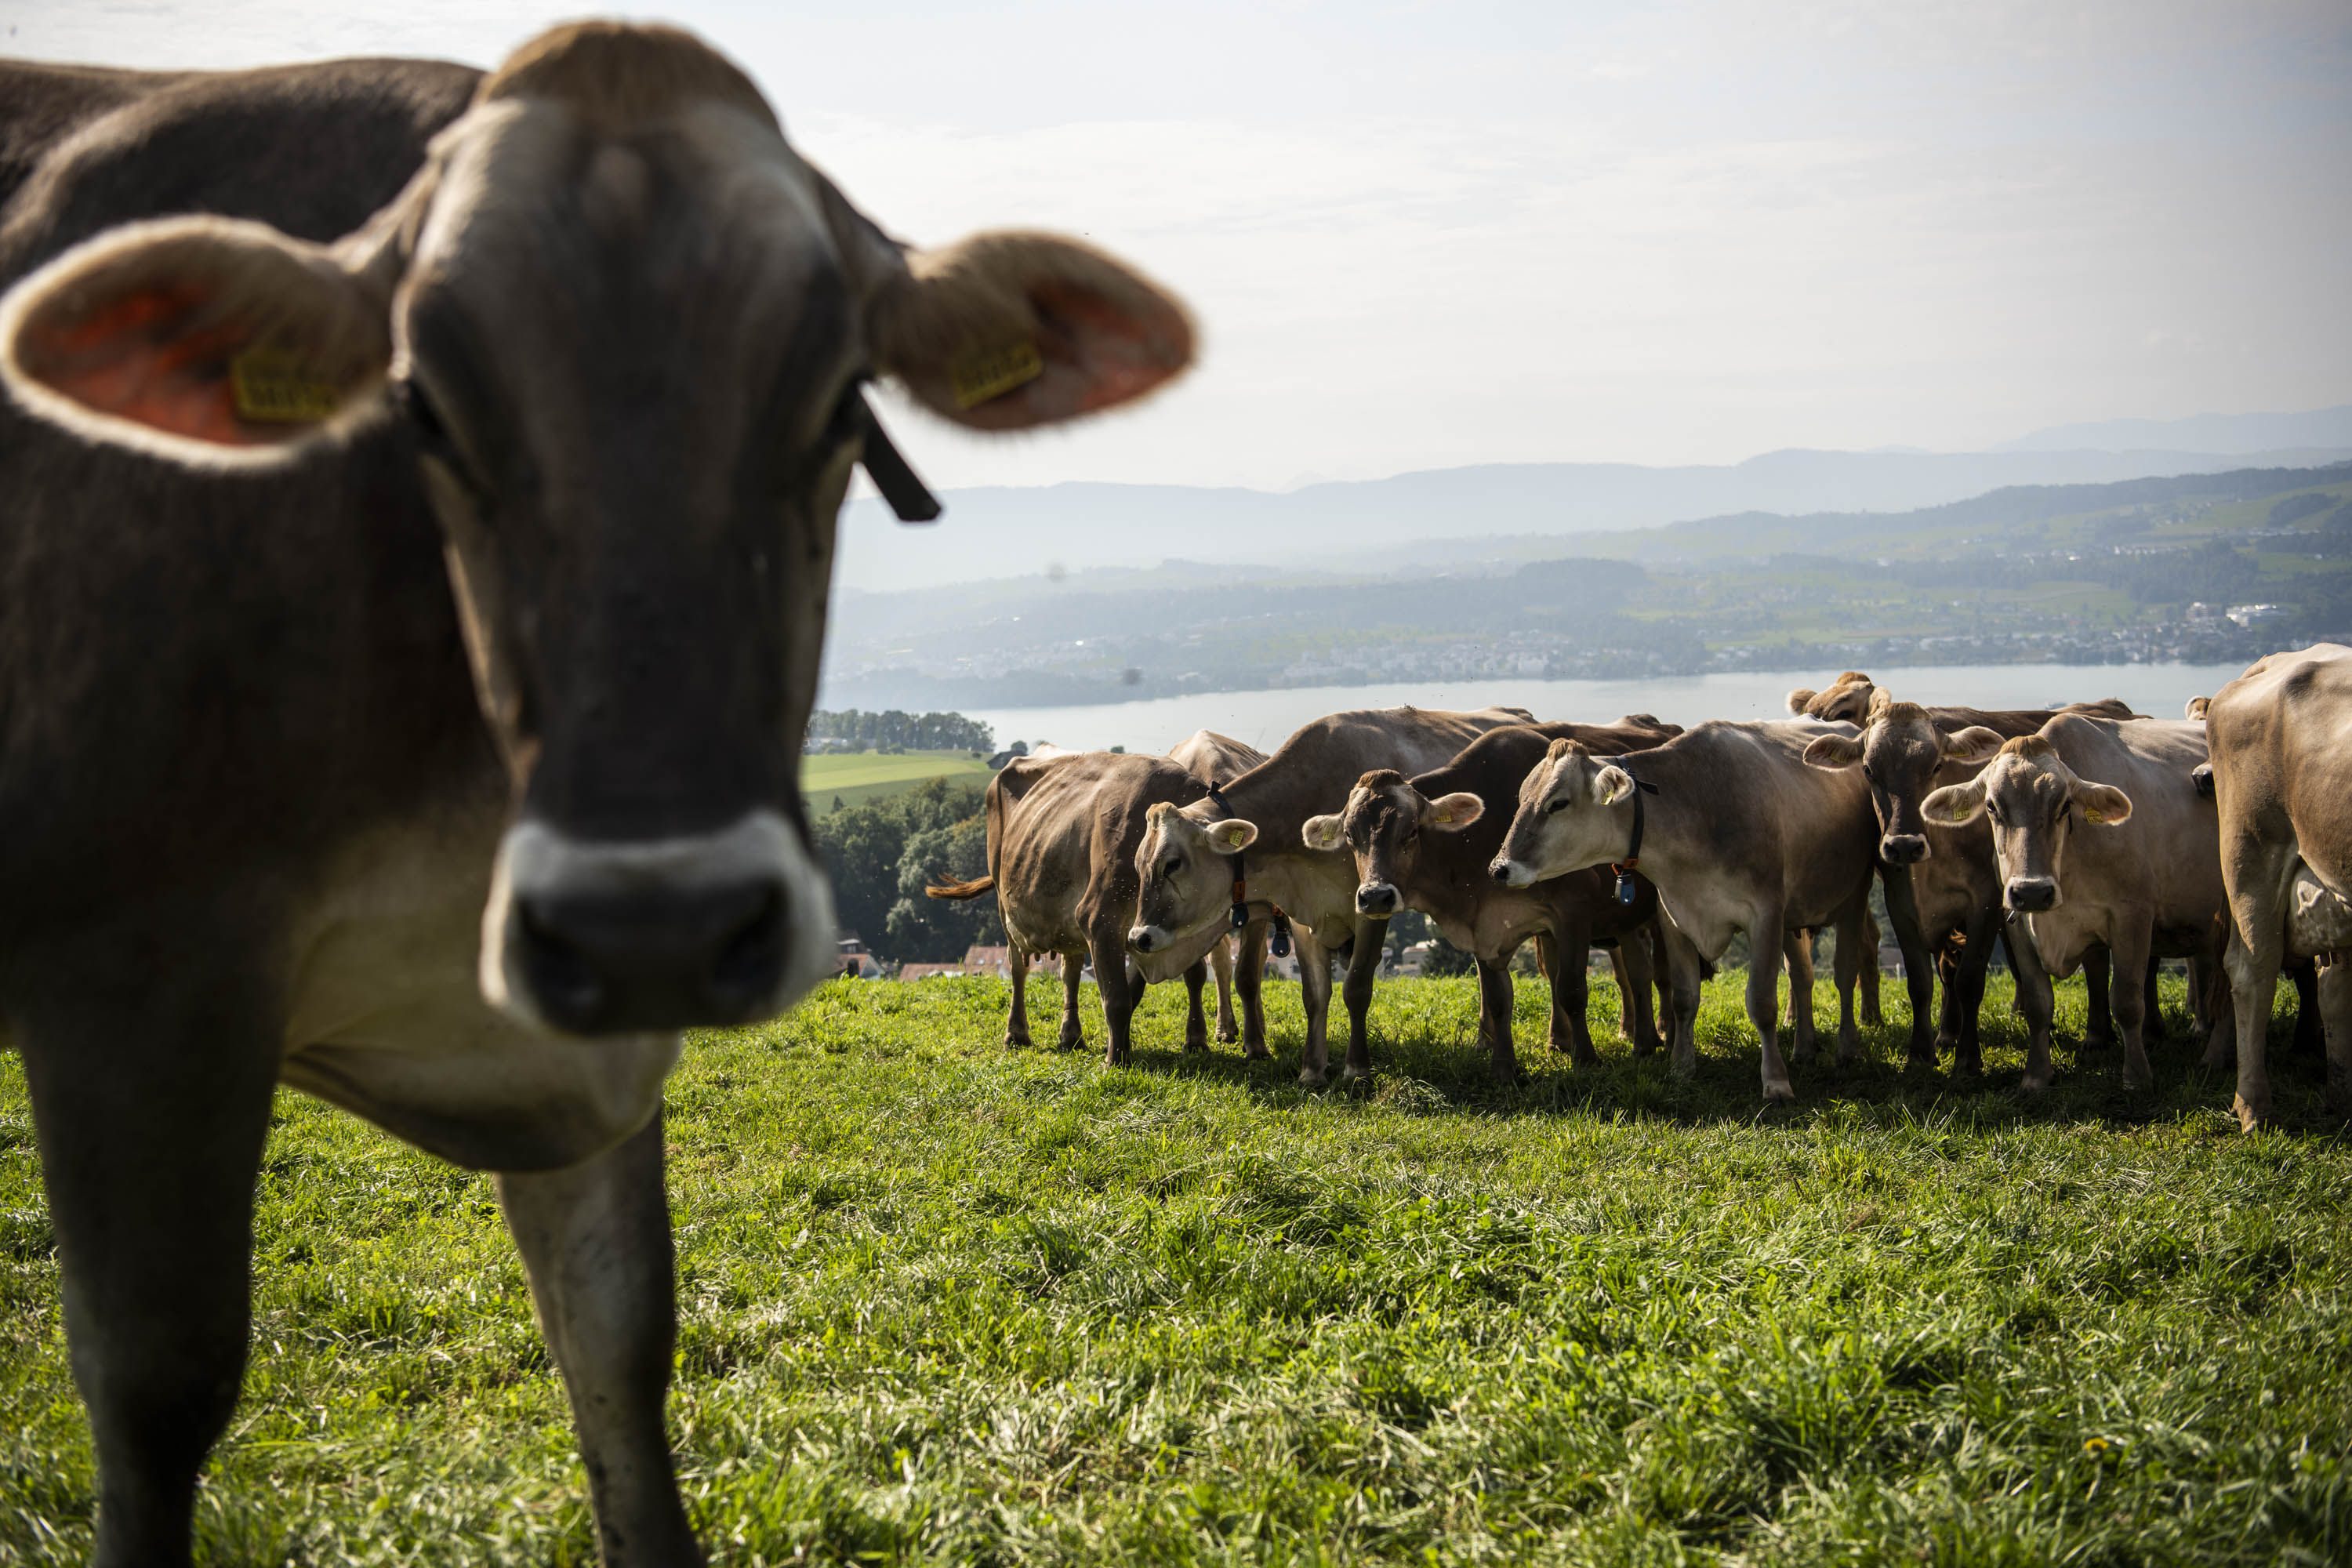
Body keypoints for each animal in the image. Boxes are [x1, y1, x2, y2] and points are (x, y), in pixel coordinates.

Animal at [927, 738, 1270, 1067]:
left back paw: (1071, 1035)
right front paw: (1116, 1059)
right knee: (1017, 968)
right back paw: (1017, 1033)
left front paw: (1210, 1042)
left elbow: (1193, 978)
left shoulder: (1153, 931)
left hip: (1065, 915)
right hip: (1005, 903)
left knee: (1070, 970)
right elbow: (1117, 997)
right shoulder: (1101, 916)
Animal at [1129, 710, 1534, 1086]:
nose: (1138, 937)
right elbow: (1314, 993)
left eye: (1172, 863)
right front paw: (1312, 1069)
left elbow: (1356, 988)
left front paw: (1356, 1069)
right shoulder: (1303, 914)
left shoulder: (1372, 907)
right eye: (1138, 865)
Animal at [1505, 719, 1872, 1100]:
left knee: (1846, 974)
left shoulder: (1766, 915)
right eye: (1522, 798)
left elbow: (1762, 1003)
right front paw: (1681, 1066)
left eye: (1558, 803)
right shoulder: (1674, 917)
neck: (1696, 807)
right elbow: (1684, 997)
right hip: (1792, 920)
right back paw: (1804, 1048)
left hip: (1854, 897)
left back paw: (1847, 1049)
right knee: (1802, 976)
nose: (1499, 867)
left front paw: (1776, 1082)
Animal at [1919, 719, 2230, 1091]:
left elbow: (2127, 1001)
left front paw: (2137, 1077)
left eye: (2065, 805)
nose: (2033, 891)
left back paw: (2215, 1056)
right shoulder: (2017, 925)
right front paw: (2036, 1077)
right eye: (1992, 806)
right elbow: (2038, 1004)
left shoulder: (2133, 916)